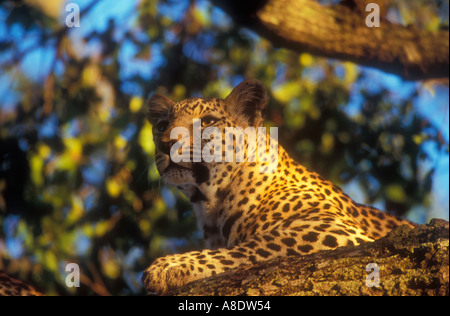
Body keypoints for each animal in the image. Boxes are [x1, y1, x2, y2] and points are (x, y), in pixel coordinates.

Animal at [142, 78, 416, 294]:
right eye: (162, 126)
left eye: (208, 121)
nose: (166, 144)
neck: (209, 203)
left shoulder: (340, 232)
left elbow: (254, 245)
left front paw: (169, 266)